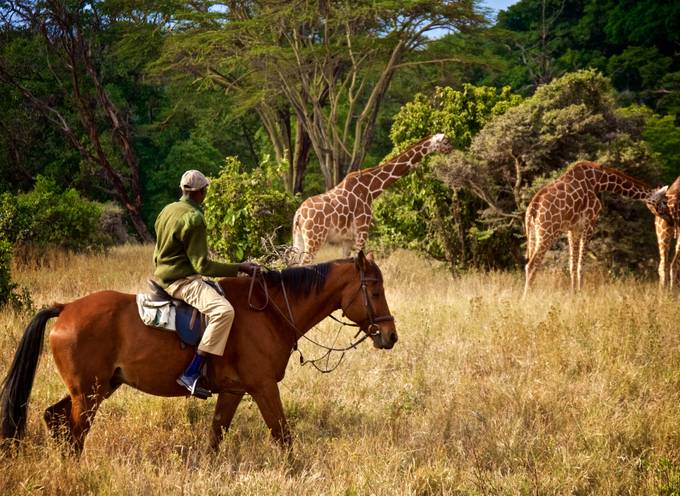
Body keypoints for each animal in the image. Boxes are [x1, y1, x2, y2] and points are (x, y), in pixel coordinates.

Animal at [0, 252, 396, 454]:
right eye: (375, 290)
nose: (390, 336)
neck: (271, 311)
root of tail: (66, 308)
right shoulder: (263, 386)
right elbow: (283, 435)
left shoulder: (234, 391)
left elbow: (216, 436)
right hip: (89, 394)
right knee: (75, 433)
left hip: (97, 388)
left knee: (56, 418)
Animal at [290, 132, 452, 264]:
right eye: (446, 142)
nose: (452, 149)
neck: (371, 190)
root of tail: (298, 214)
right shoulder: (362, 231)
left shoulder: (347, 239)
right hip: (314, 239)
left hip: (299, 238)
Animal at [524, 161, 668, 296]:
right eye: (664, 201)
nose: (669, 217)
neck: (599, 181)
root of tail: (532, 209)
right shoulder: (590, 222)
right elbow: (581, 264)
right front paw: (580, 293)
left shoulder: (573, 228)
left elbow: (572, 265)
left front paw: (573, 293)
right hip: (547, 233)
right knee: (531, 265)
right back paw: (526, 298)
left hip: (534, 233)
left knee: (531, 263)